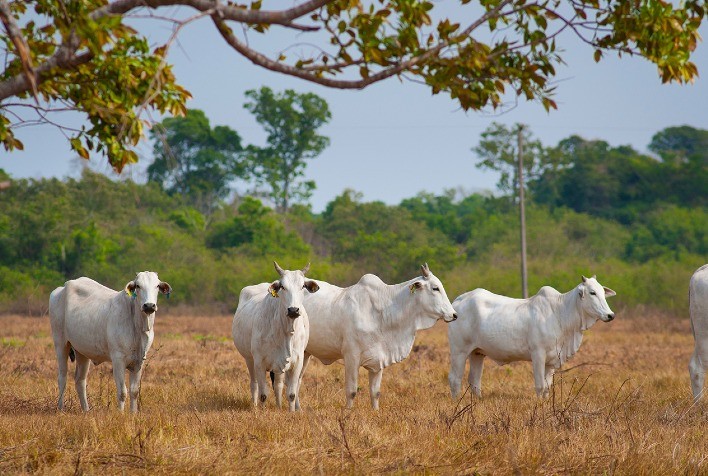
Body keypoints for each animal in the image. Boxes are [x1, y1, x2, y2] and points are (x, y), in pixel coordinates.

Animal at [48, 272, 173, 412]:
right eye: (138, 286)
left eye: (157, 285)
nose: (149, 306)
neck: (138, 326)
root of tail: (62, 288)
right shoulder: (118, 359)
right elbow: (122, 392)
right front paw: (120, 413)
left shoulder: (139, 361)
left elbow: (134, 391)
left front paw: (133, 413)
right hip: (60, 343)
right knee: (62, 378)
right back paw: (60, 409)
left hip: (82, 352)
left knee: (80, 381)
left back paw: (86, 410)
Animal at [232, 262, 318, 410]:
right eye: (282, 286)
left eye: (302, 286)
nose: (293, 310)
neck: (285, 332)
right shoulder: (259, 362)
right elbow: (263, 394)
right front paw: (262, 411)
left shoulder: (297, 362)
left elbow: (291, 394)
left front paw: (291, 412)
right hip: (249, 359)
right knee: (254, 384)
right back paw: (254, 405)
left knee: (278, 386)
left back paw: (279, 406)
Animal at [300, 264, 456, 410]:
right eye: (435, 288)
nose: (454, 315)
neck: (381, 311)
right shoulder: (351, 356)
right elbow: (351, 391)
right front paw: (348, 412)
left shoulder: (379, 359)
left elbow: (375, 393)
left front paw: (375, 411)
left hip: (305, 353)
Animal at [450, 274, 616, 400]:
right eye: (592, 292)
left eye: (603, 292)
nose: (610, 315)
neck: (560, 313)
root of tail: (458, 301)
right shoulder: (538, 354)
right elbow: (540, 385)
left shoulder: (553, 359)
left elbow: (547, 387)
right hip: (459, 351)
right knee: (455, 379)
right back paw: (456, 403)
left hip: (477, 353)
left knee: (474, 381)